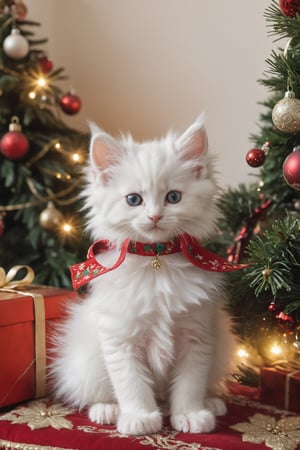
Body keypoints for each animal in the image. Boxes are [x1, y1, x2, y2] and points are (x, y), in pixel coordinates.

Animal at [51, 116, 234, 436]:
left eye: (173, 197)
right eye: (133, 199)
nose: (155, 216)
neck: (155, 262)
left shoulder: (197, 337)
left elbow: (190, 384)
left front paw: (189, 414)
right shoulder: (119, 339)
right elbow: (131, 384)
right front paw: (139, 418)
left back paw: (211, 403)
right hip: (86, 358)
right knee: (96, 392)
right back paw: (107, 410)